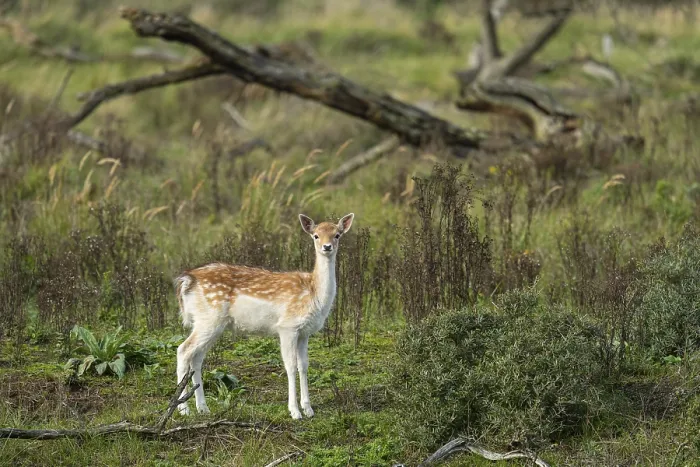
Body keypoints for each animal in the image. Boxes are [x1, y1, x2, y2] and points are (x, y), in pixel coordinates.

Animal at [174, 213, 355, 419]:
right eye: (316, 235)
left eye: (337, 234)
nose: (327, 247)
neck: (313, 294)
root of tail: (187, 280)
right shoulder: (287, 327)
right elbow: (290, 366)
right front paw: (294, 411)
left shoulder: (304, 332)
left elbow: (304, 366)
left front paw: (309, 409)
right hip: (209, 319)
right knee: (183, 350)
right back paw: (183, 409)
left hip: (210, 323)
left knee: (196, 357)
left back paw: (203, 408)